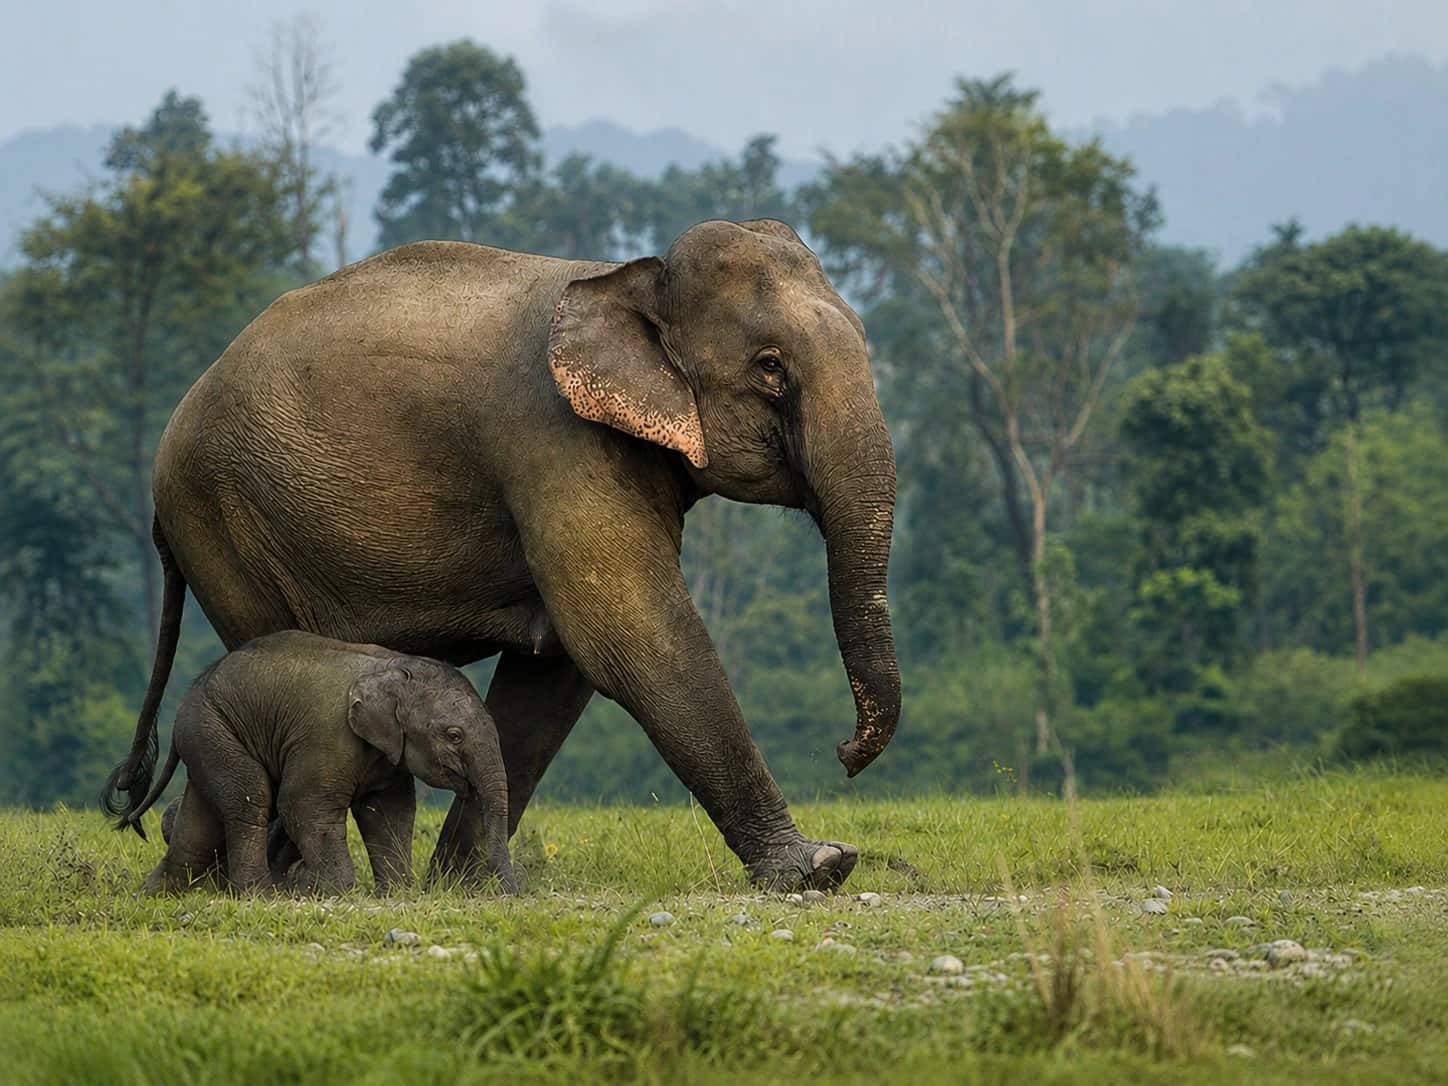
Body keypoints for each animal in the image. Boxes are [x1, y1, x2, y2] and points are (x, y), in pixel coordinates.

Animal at [124, 631, 516, 895]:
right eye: (454, 735)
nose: (511, 892)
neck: (392, 666)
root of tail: (190, 693)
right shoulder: (327, 734)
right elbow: (303, 804)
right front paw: (332, 890)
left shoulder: (389, 754)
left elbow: (389, 812)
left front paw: (397, 892)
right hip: (215, 728)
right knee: (250, 799)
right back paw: (262, 895)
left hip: (209, 737)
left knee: (201, 820)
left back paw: (155, 893)